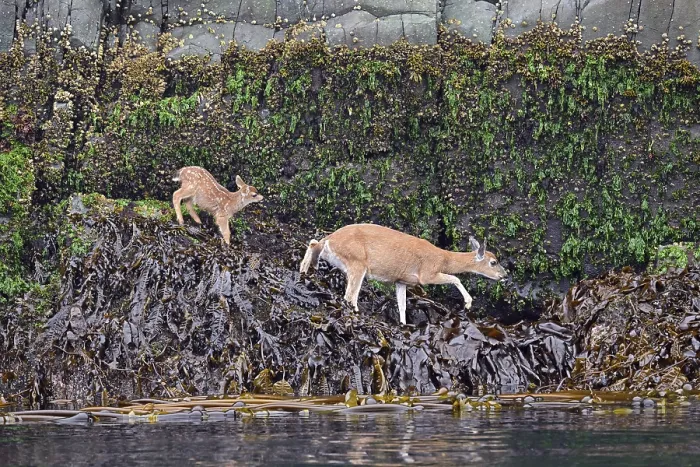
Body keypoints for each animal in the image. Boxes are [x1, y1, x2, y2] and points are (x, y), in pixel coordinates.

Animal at [299, 223, 507, 325]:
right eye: (493, 262)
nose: (504, 275)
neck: (442, 258)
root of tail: (330, 239)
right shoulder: (426, 274)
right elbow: (455, 277)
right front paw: (468, 303)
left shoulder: (402, 280)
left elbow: (402, 306)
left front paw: (403, 324)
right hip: (357, 262)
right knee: (350, 296)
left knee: (312, 242)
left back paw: (303, 274)